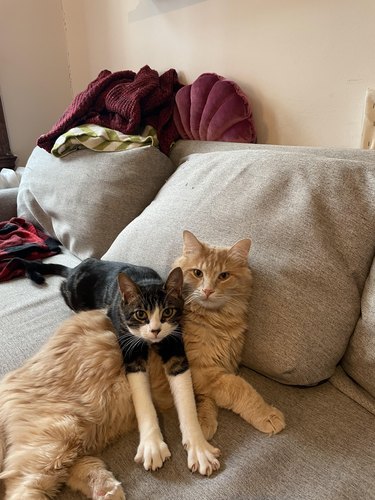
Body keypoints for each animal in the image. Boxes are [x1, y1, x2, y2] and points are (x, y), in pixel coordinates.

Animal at [175, 232, 286, 440]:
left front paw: (203, 422)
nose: (207, 290)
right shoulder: (201, 369)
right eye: (198, 273)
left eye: (224, 276)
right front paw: (267, 415)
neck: (218, 322)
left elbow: (207, 398)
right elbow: (240, 388)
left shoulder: (223, 365)